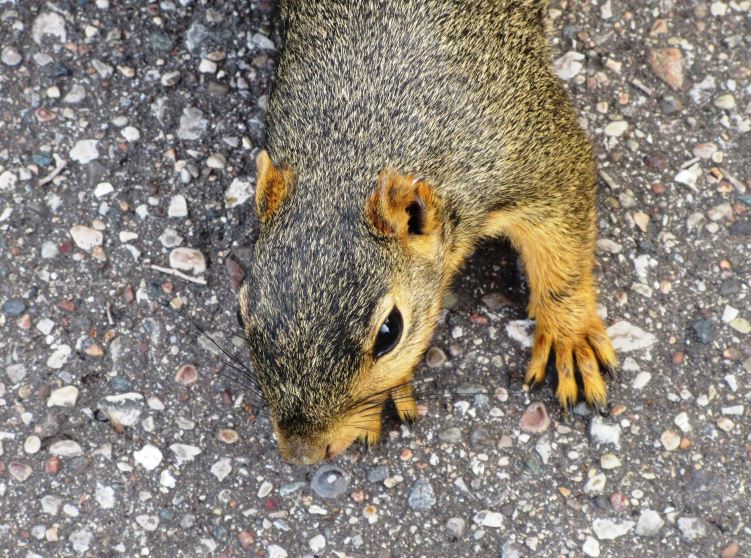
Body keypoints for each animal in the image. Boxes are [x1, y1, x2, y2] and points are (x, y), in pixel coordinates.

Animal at [237, 0, 617, 465]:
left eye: (389, 332)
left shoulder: (535, 155)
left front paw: (570, 337)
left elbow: (563, 252)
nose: (301, 455)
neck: (355, 145)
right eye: (241, 313)